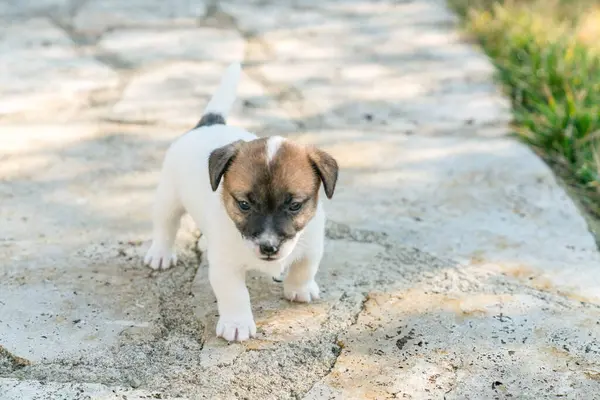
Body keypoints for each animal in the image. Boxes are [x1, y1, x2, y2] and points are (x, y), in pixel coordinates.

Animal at [142, 64, 338, 342]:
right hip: (168, 197)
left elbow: (304, 268)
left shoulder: (311, 244)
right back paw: (160, 254)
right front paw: (237, 324)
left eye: (295, 206)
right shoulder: (225, 266)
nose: (268, 247)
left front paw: (300, 289)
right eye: (244, 205)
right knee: (165, 225)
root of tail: (208, 124)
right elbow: (235, 295)